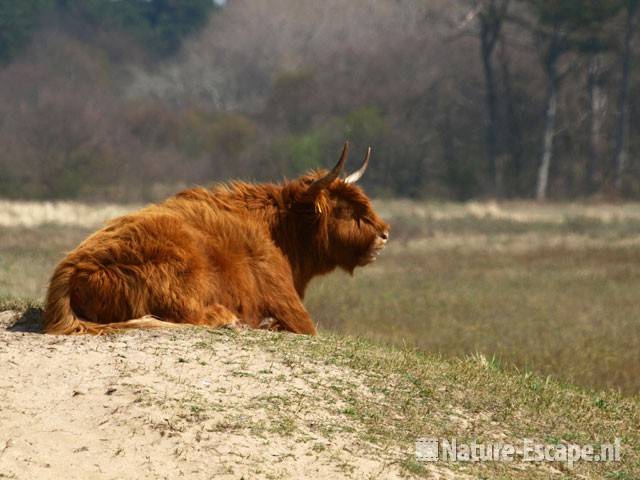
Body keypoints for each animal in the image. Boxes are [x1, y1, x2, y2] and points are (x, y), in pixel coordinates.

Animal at [43, 143, 390, 334]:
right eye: (346, 210)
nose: (385, 233)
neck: (278, 232)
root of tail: (71, 270)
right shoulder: (290, 306)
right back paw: (233, 320)